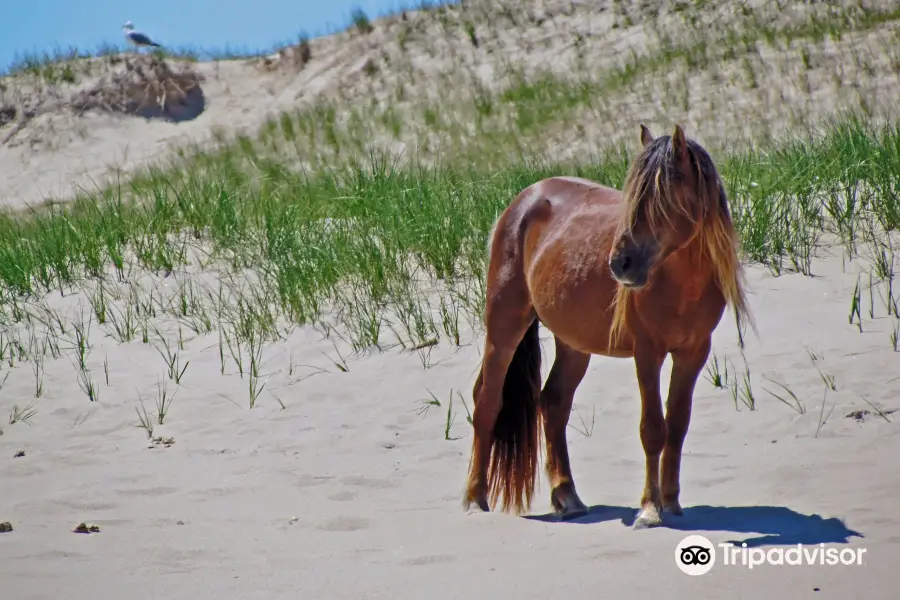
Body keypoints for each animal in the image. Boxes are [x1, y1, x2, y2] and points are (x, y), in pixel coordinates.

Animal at [464, 124, 752, 528]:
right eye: (634, 195)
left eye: (665, 194)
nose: (620, 264)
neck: (682, 284)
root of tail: (526, 198)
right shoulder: (647, 352)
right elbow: (653, 429)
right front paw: (649, 508)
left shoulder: (693, 352)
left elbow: (677, 425)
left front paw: (672, 502)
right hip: (505, 325)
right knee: (488, 401)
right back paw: (476, 497)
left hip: (574, 343)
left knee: (553, 402)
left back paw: (567, 496)